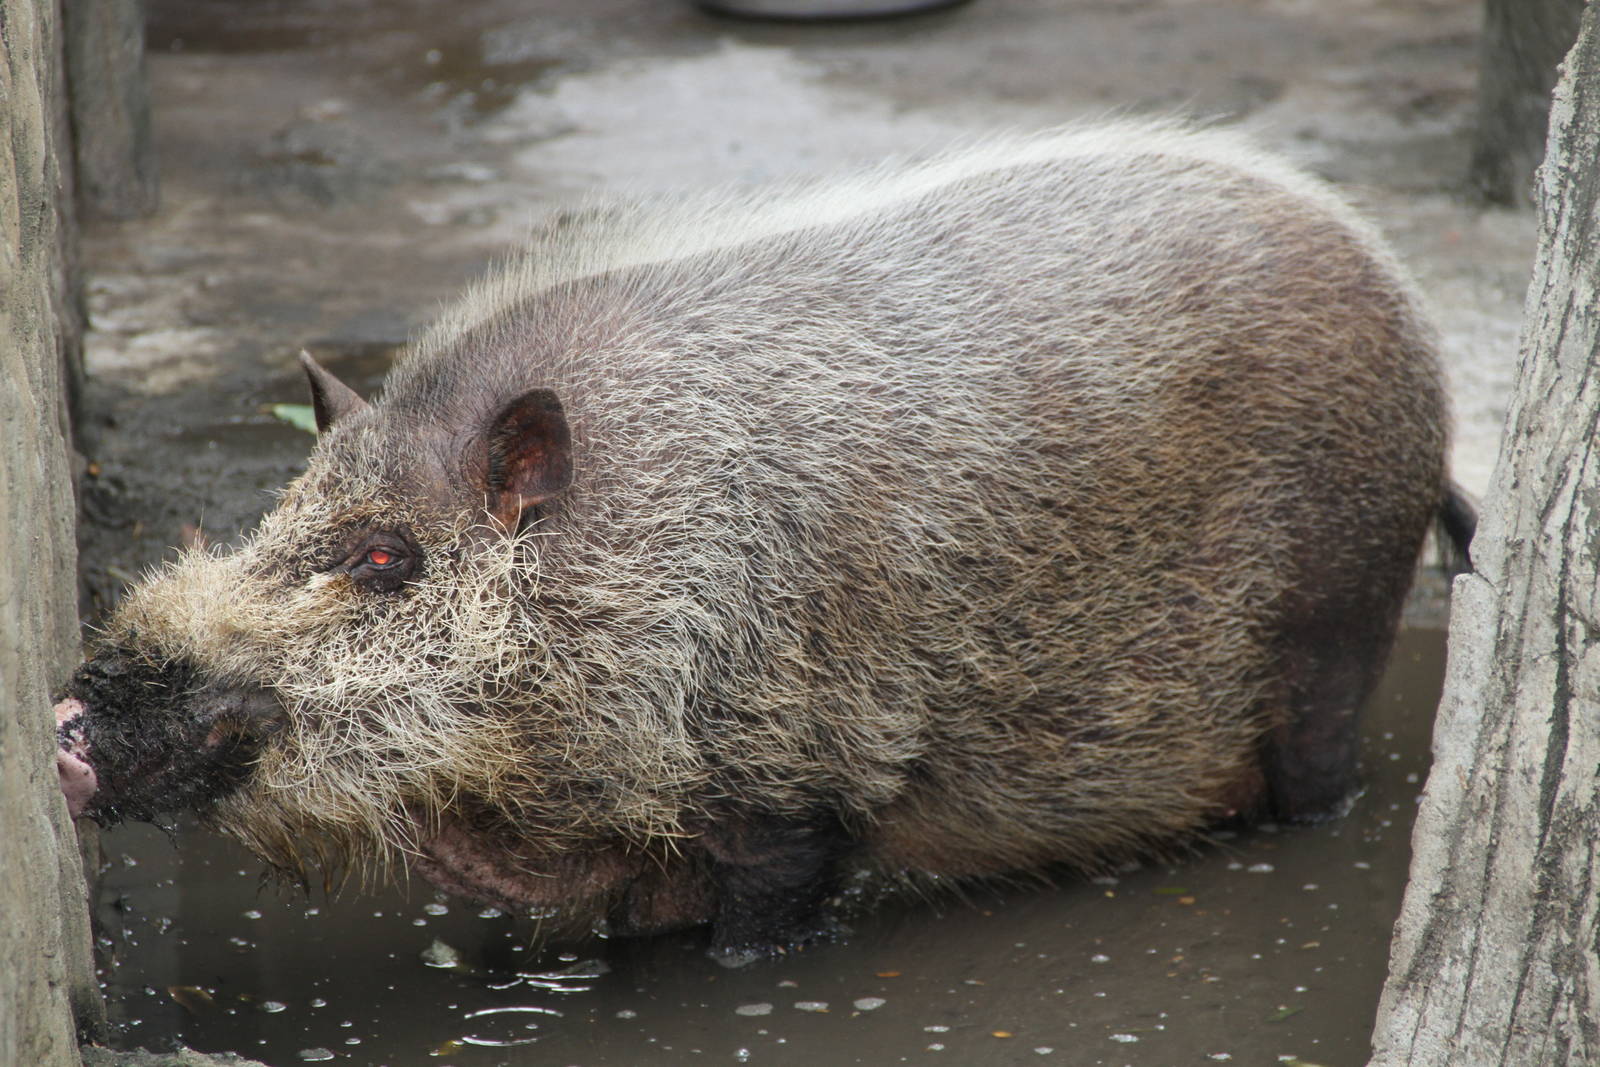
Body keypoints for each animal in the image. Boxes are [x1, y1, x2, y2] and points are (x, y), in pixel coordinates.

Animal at [55, 120, 1464, 955]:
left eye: (385, 559)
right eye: (281, 511)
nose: (68, 717)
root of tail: (1410, 310)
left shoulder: (799, 782)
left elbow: (757, 930)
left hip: (1339, 610)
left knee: (1317, 774)